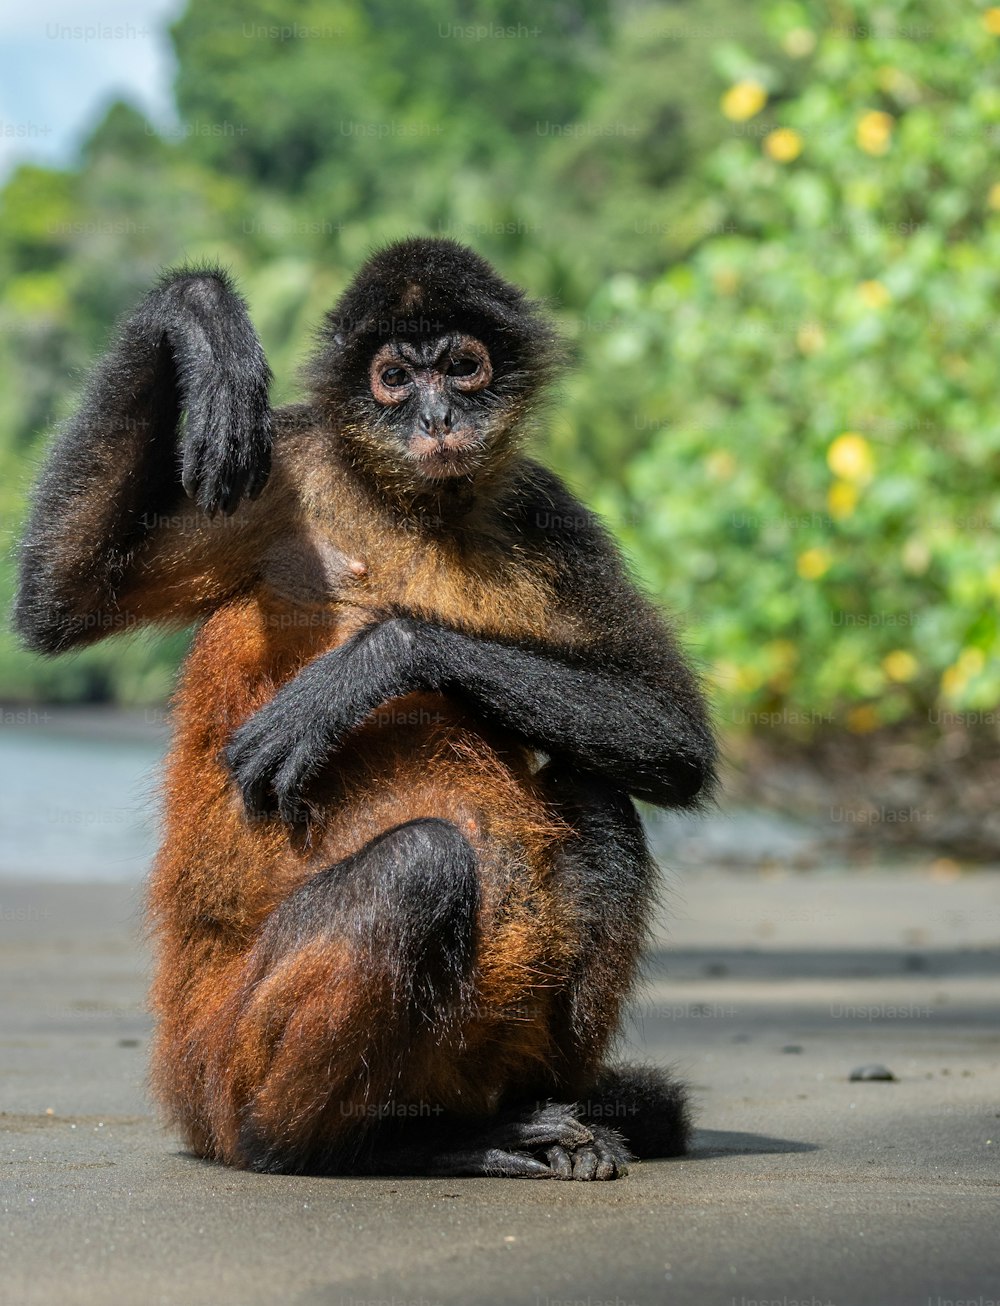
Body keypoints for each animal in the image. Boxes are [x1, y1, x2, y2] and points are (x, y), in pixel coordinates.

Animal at [15, 237, 720, 1185]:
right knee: (419, 866)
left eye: (462, 368)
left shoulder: (545, 511)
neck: (407, 506)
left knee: (596, 795)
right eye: (394, 378)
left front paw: (371, 664)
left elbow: (675, 737)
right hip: (226, 1058)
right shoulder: (287, 461)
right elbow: (60, 602)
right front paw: (199, 316)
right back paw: (370, 1144)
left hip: (483, 1039)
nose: (438, 419)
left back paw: (511, 1118)